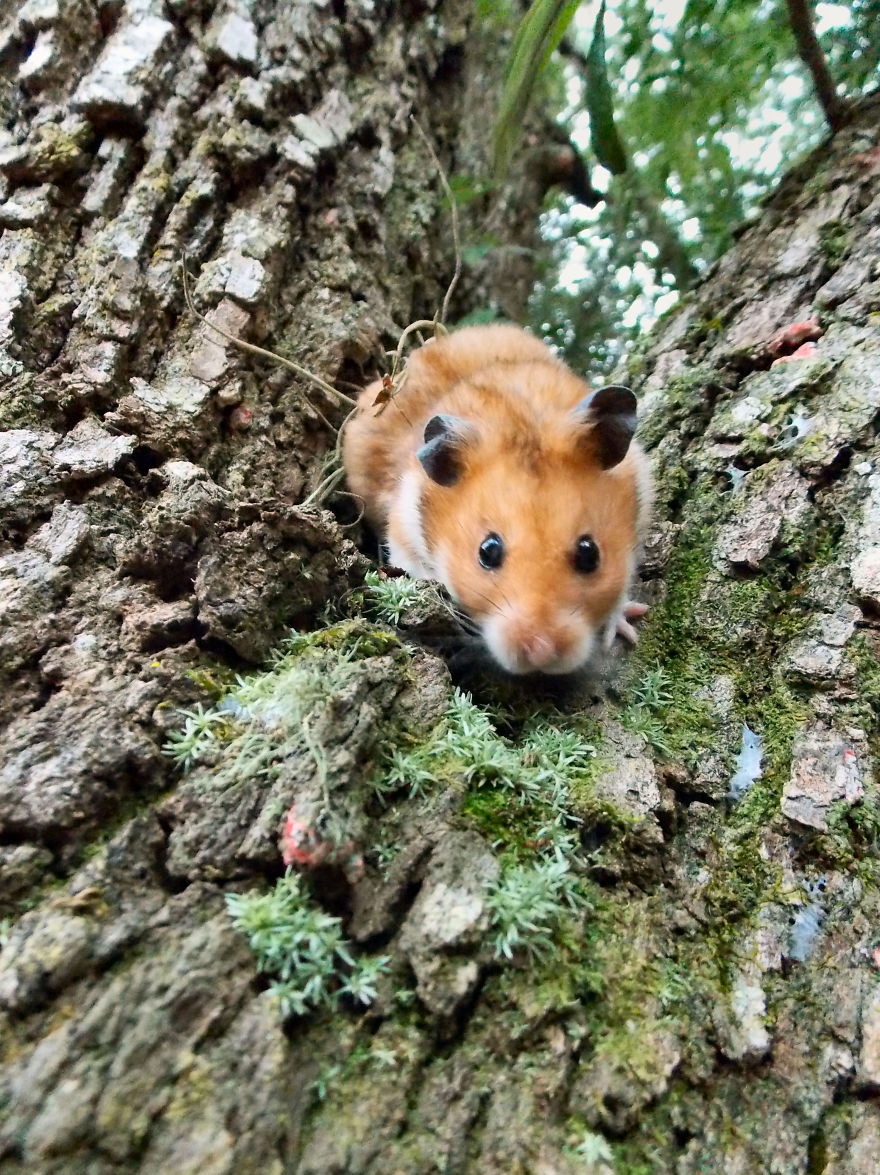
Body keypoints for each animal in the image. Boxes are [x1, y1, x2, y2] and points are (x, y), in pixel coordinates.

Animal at [343, 324, 652, 675]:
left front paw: (625, 629)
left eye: (590, 553)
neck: (522, 424)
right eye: (487, 551)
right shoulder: (402, 530)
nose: (542, 652)